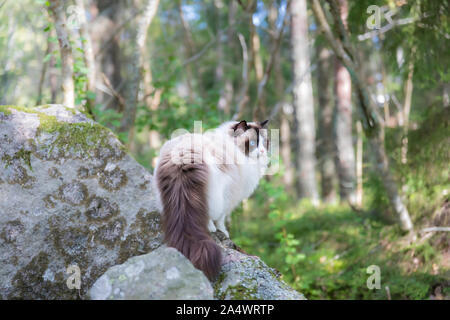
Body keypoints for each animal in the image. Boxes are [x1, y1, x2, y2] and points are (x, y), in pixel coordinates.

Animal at [153, 120, 268, 280]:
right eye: (252, 143)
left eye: (264, 143)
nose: (263, 151)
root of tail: (184, 155)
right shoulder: (229, 196)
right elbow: (221, 219)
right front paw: (223, 231)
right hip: (215, 194)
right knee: (208, 214)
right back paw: (211, 229)